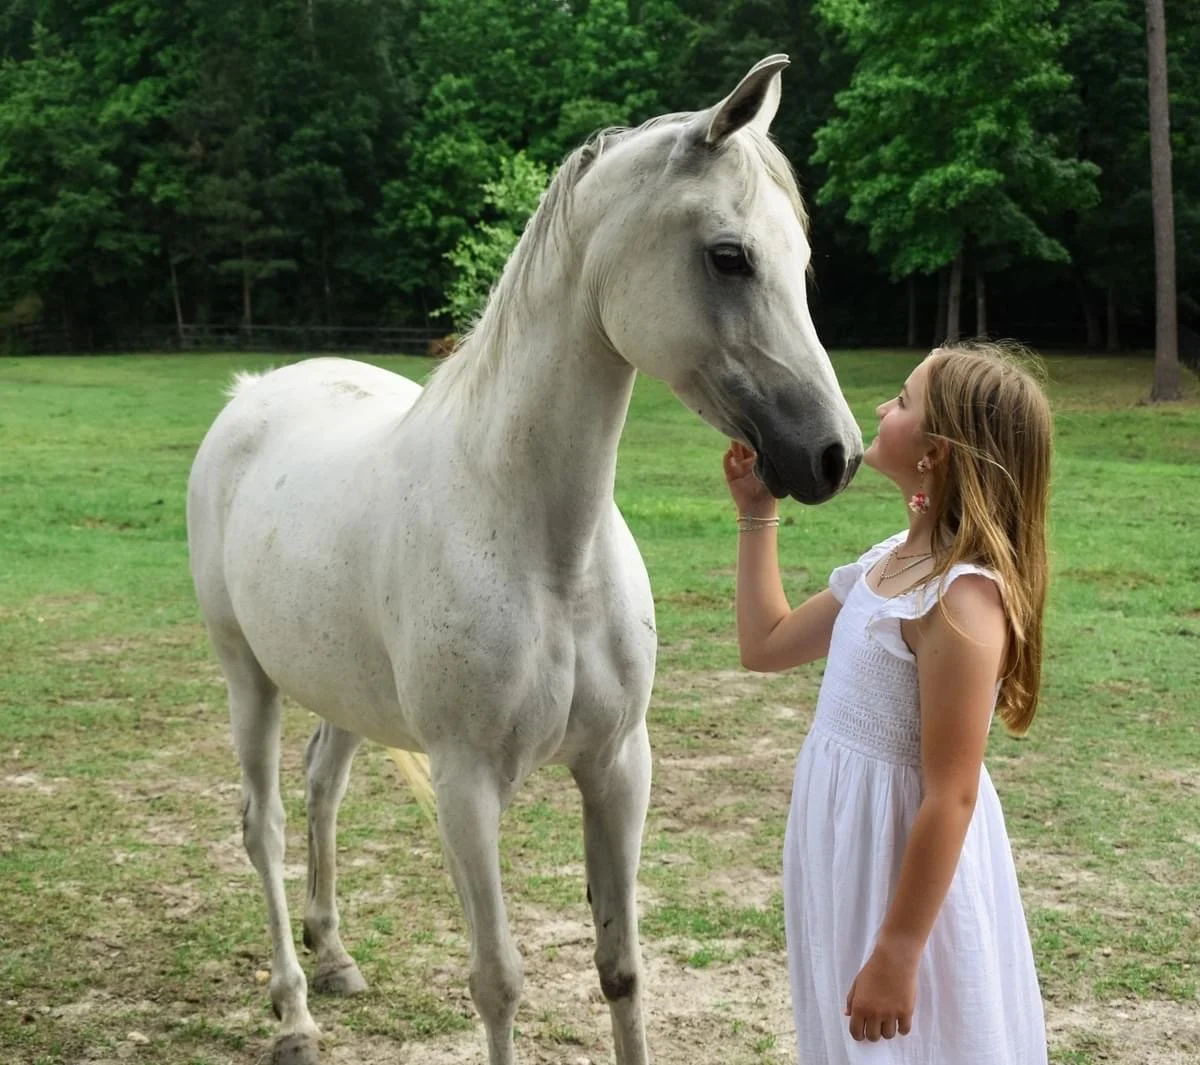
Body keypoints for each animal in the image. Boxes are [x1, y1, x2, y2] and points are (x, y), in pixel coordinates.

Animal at [186, 54, 863, 1065]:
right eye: (729, 255)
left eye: (803, 261)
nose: (833, 455)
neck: (549, 553)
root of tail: (249, 395)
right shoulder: (467, 784)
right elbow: (498, 980)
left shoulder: (618, 766)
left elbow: (622, 969)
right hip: (248, 677)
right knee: (261, 824)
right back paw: (295, 1008)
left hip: (343, 692)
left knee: (321, 788)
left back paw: (335, 955)